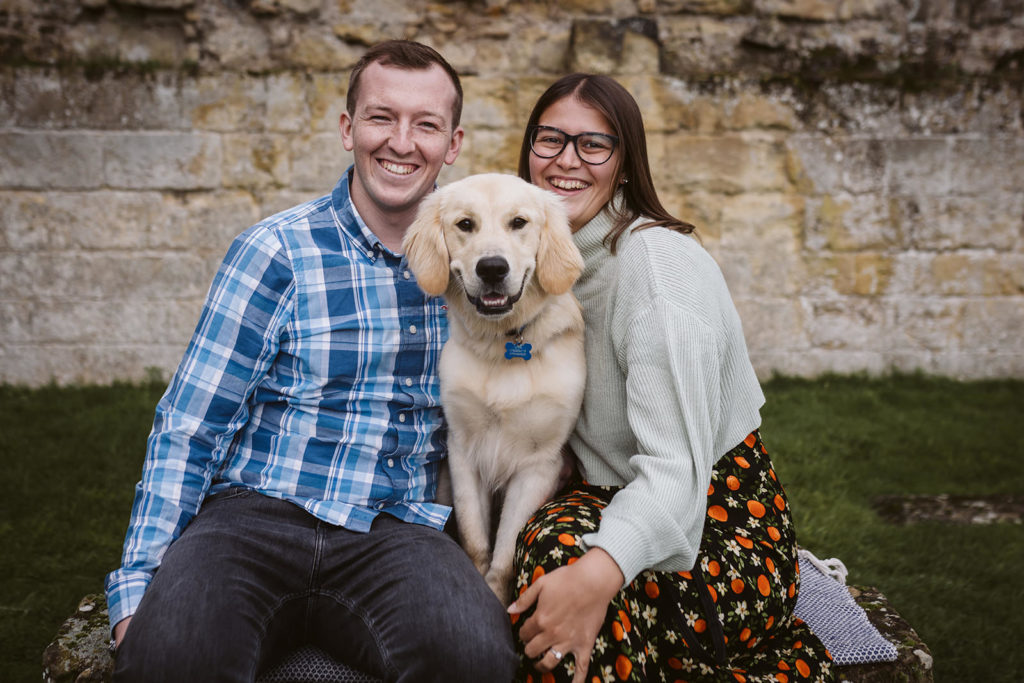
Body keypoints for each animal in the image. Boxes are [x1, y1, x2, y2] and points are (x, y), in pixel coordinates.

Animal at [403, 172, 589, 602]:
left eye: (518, 222)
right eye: (465, 224)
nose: (491, 268)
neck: (502, 342)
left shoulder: (540, 463)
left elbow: (506, 555)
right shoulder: (461, 449)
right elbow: (475, 541)